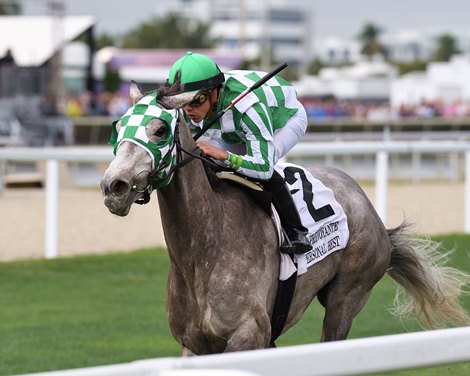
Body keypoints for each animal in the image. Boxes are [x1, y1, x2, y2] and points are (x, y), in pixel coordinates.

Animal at [100, 83, 470, 356]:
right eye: (118, 127)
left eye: (160, 129)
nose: (113, 185)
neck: (205, 250)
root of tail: (369, 207)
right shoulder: (195, 345)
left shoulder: (249, 335)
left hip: (347, 297)